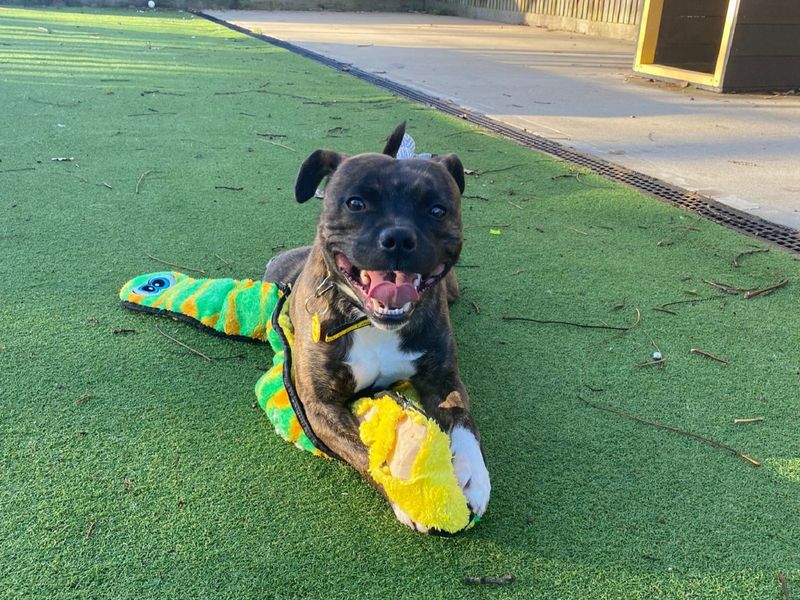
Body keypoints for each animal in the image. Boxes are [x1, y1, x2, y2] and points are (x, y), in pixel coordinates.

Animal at [264, 124, 488, 532]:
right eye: (356, 203)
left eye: (437, 210)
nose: (399, 238)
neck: (371, 322)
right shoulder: (320, 406)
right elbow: (364, 451)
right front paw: (407, 495)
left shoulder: (444, 379)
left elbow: (464, 420)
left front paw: (472, 476)